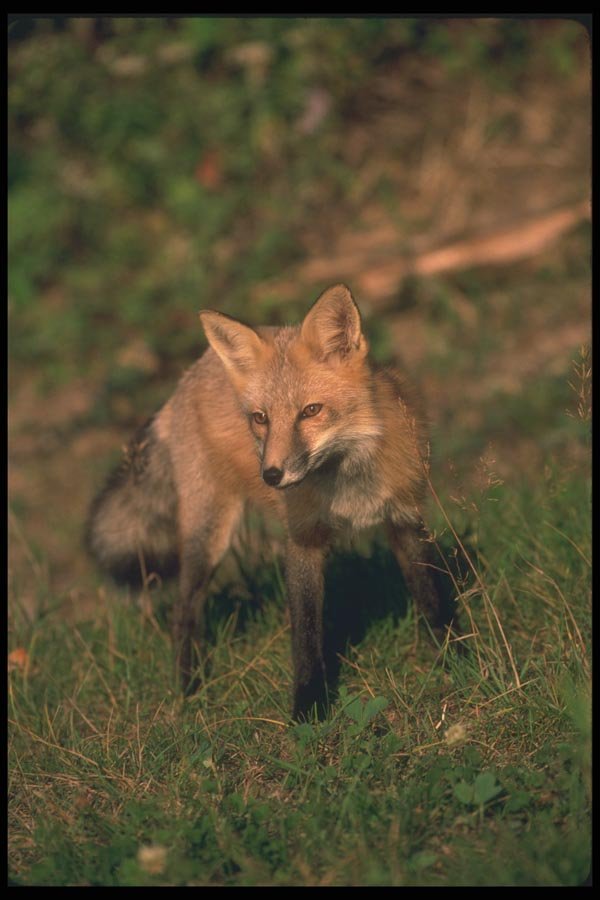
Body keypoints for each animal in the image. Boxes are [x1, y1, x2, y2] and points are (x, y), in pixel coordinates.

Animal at [86, 283, 452, 719]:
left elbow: (430, 598)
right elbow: (307, 636)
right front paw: (308, 710)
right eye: (261, 418)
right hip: (208, 534)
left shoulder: (404, 516)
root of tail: (183, 383)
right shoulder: (303, 540)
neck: (349, 486)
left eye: (311, 411)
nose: (272, 476)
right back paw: (190, 687)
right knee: (182, 610)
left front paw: (453, 657)